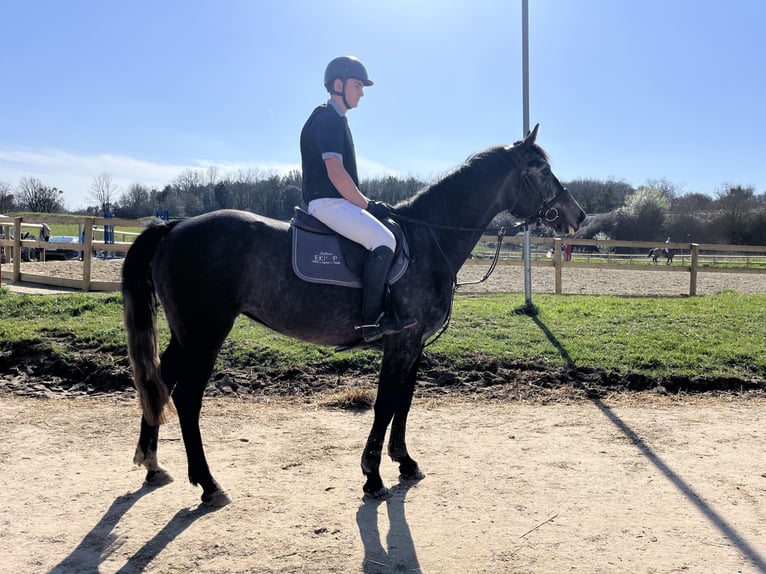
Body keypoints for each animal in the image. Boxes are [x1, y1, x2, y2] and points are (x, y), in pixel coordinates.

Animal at [122, 124, 586, 506]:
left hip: (187, 333)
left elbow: (404, 402)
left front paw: (404, 461)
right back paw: (207, 484)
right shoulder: (400, 343)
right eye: (540, 169)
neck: (428, 237)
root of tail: (175, 226)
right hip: (206, 332)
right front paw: (372, 477)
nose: (577, 215)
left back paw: (152, 464)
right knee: (186, 397)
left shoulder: (413, 345)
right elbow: (384, 405)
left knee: (160, 381)